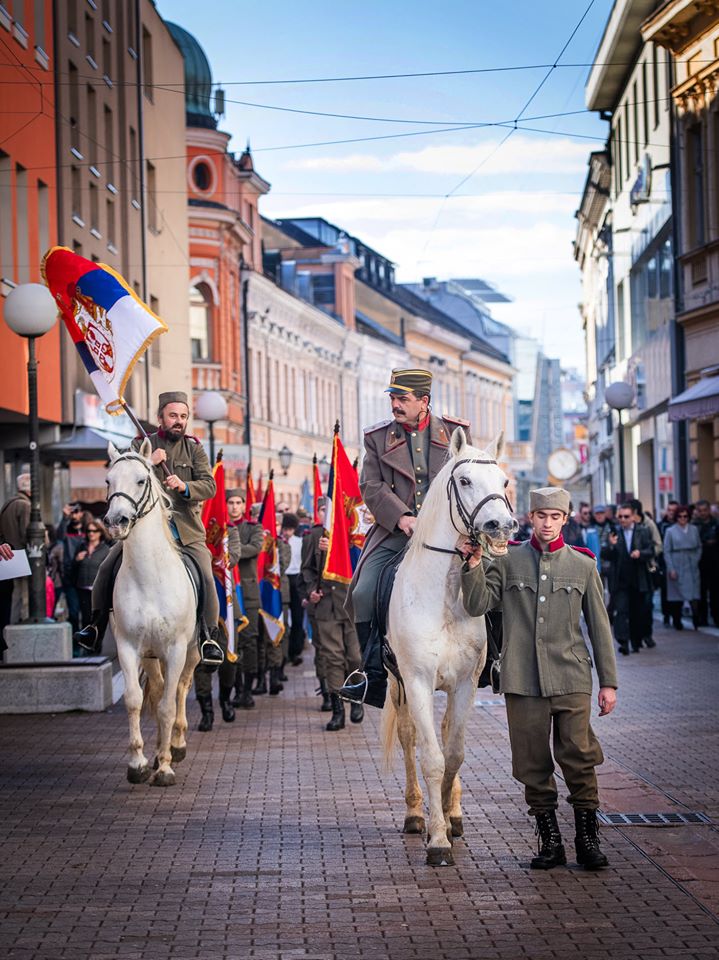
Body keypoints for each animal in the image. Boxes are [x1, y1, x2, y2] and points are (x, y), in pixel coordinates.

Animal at [105, 442, 200, 788]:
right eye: (108, 480)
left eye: (141, 480)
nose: (116, 520)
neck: (149, 575)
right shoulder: (128, 647)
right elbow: (134, 700)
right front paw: (139, 763)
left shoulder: (175, 649)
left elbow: (168, 707)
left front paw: (166, 768)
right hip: (150, 655)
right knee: (158, 689)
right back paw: (161, 749)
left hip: (191, 651)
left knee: (181, 689)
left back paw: (177, 745)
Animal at [382, 428, 516, 864]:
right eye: (465, 480)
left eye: (504, 481)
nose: (501, 525)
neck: (442, 595)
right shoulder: (418, 682)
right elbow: (431, 757)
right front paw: (436, 838)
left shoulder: (464, 684)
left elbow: (453, 753)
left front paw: (447, 818)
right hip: (397, 684)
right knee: (409, 737)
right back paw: (414, 814)